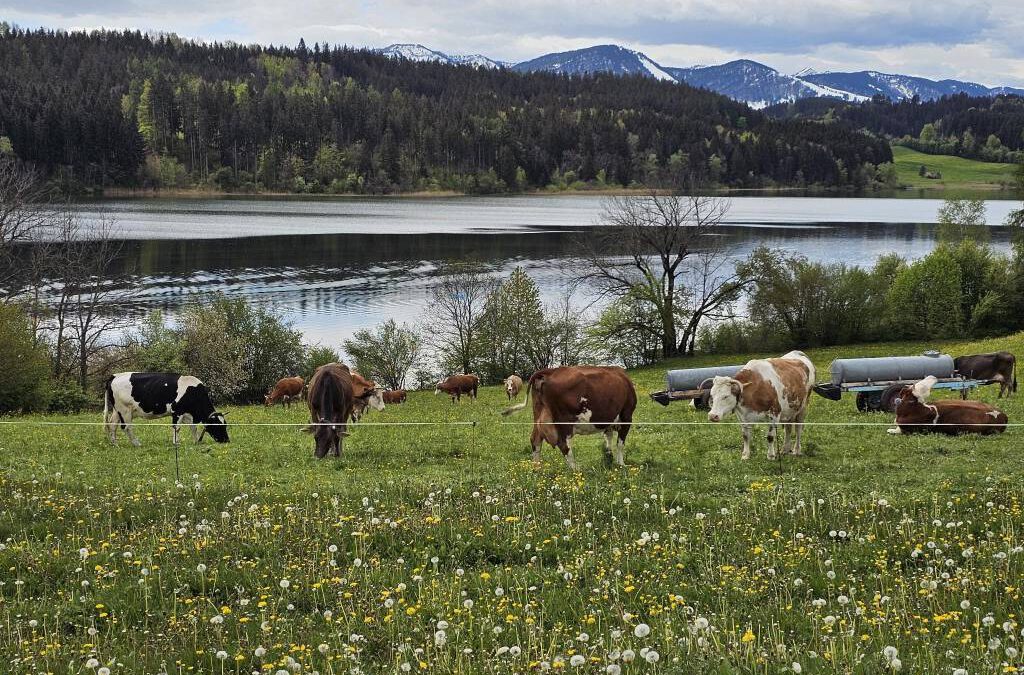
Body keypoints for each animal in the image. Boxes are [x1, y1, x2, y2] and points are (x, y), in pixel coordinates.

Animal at [501, 366, 634, 473]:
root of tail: (551, 371)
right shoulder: (627, 416)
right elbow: (620, 443)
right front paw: (621, 464)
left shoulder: (609, 421)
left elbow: (608, 438)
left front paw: (609, 457)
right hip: (564, 421)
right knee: (564, 445)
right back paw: (576, 470)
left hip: (539, 414)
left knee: (535, 440)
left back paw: (537, 469)